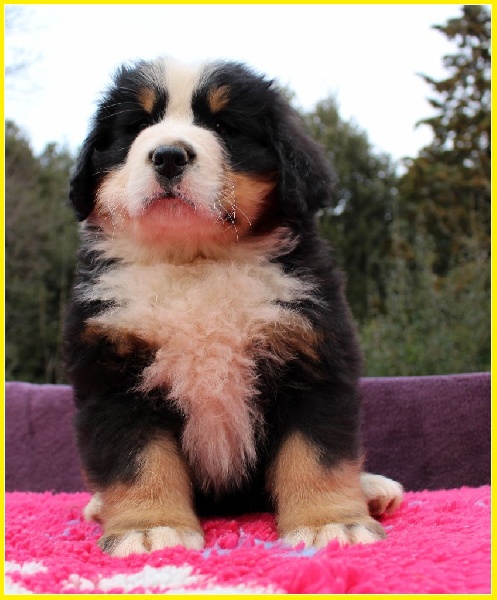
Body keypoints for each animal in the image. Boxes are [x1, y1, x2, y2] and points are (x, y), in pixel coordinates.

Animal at [64, 56, 403, 557]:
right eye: (138, 125)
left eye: (223, 126)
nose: (168, 155)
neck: (197, 261)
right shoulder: (113, 372)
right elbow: (139, 459)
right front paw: (150, 528)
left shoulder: (311, 354)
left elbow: (316, 453)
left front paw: (329, 523)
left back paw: (374, 489)